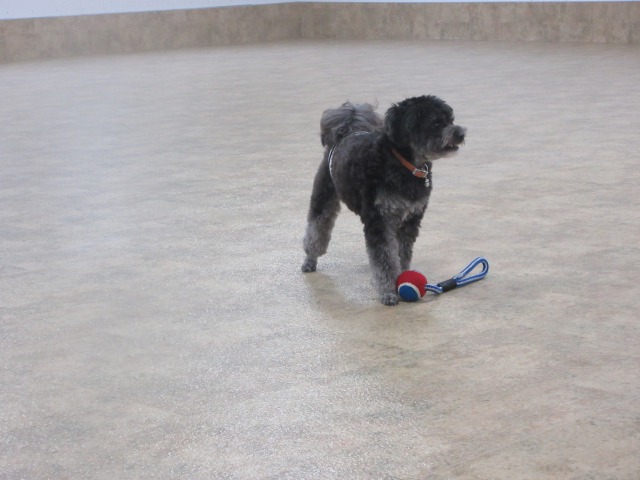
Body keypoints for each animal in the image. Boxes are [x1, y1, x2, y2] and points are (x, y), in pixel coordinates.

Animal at [301, 95, 466, 306]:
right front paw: (388, 291)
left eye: (450, 120)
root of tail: (346, 132)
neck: (405, 166)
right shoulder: (379, 220)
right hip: (323, 197)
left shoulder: (410, 220)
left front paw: (402, 277)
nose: (461, 133)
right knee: (316, 230)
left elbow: (401, 253)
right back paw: (310, 260)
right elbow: (384, 259)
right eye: (436, 123)